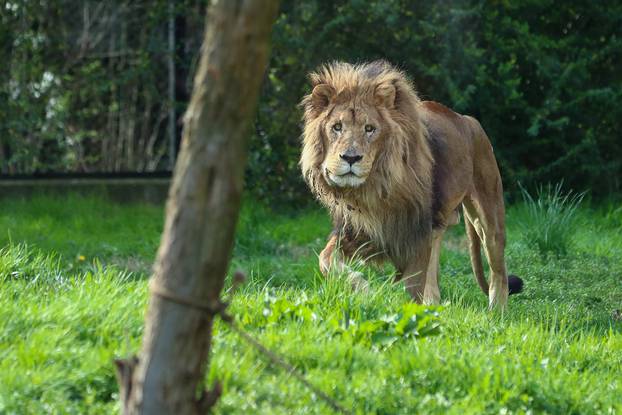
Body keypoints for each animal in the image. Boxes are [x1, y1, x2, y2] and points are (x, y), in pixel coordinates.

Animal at [300, 61, 524, 308]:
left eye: (370, 129)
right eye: (337, 127)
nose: (350, 158)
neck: (374, 190)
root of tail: (467, 119)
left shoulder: (417, 231)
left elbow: (413, 286)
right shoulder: (357, 230)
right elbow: (325, 260)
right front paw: (365, 290)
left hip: (488, 212)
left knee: (498, 269)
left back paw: (496, 310)